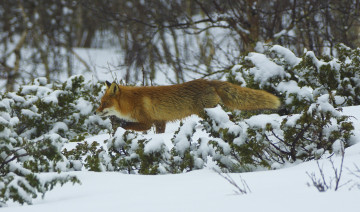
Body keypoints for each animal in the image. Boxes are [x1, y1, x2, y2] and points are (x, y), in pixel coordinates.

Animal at [94, 78, 280, 133]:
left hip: (206, 112)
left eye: (104, 103)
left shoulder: (147, 122)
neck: (131, 101)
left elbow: (125, 125)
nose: (95, 112)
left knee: (229, 118)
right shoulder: (160, 122)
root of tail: (208, 81)